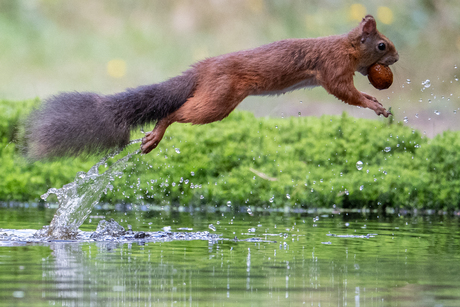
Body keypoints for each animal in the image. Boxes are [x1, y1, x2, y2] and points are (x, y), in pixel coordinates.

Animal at [26, 14, 398, 160]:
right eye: (382, 45)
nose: (396, 57)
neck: (346, 47)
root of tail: (203, 69)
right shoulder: (332, 69)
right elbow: (344, 93)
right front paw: (375, 104)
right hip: (218, 101)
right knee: (175, 113)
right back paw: (156, 134)